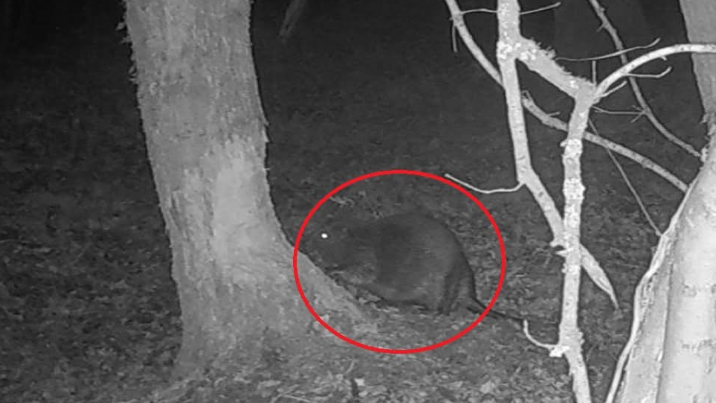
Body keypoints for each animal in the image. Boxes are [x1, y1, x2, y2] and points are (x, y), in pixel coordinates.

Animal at [322, 213, 524, 324]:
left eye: (326, 234)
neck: (359, 238)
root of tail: (469, 294)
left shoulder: (366, 255)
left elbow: (362, 272)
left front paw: (332, 270)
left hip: (438, 286)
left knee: (439, 309)